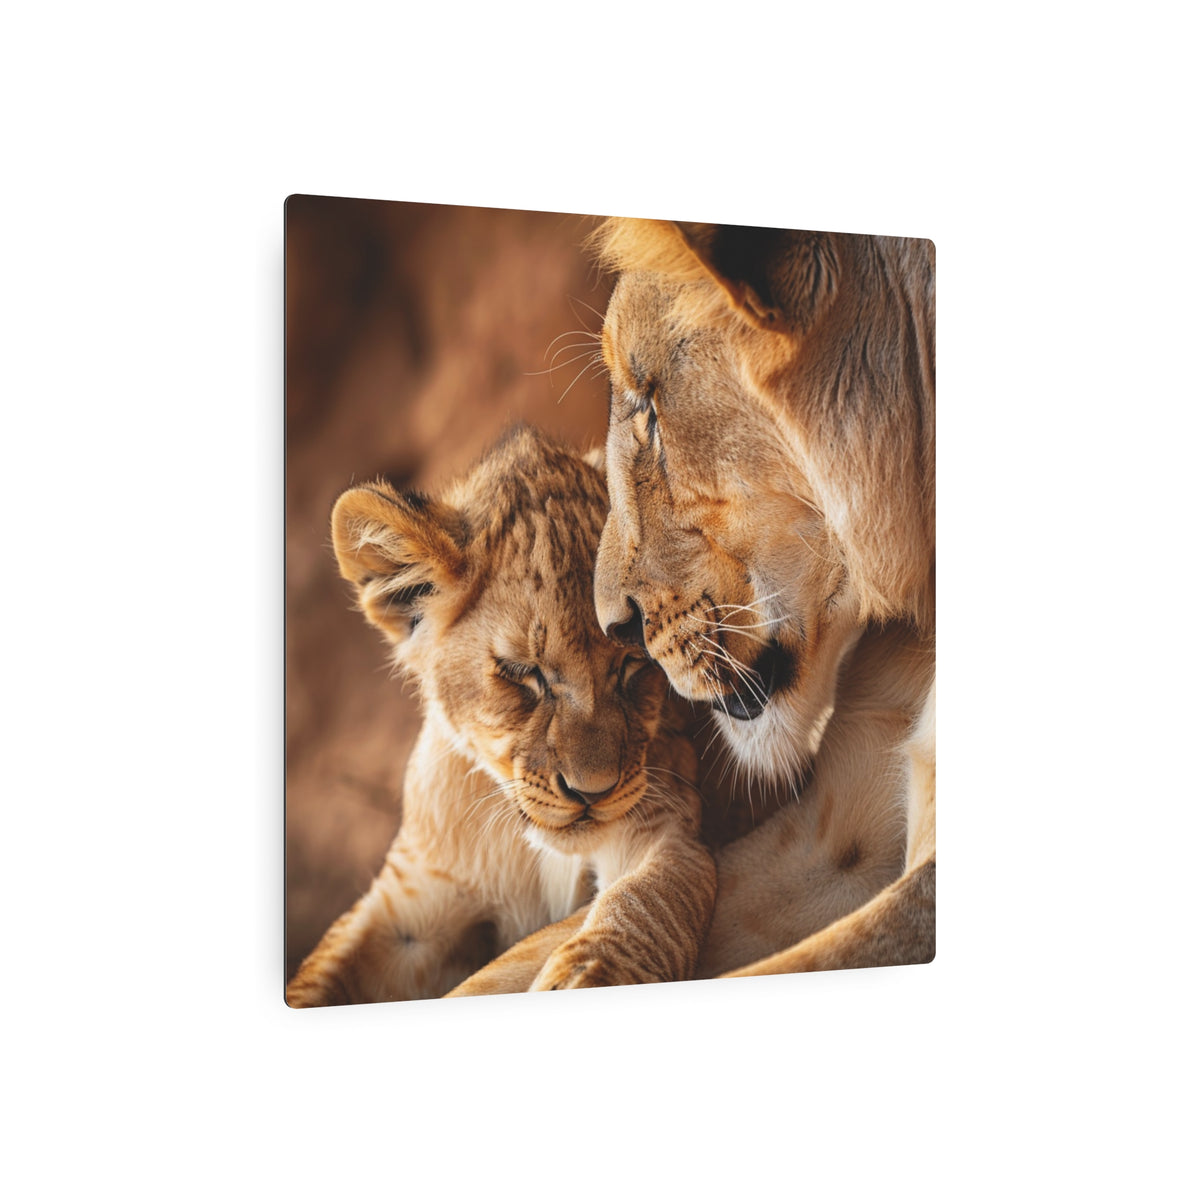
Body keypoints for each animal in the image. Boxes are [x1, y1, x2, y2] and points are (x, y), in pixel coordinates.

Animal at [285, 425, 716, 1006]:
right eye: (521, 672)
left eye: (633, 661)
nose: (593, 792)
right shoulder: (406, 914)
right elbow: (318, 975)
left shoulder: (670, 832)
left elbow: (645, 901)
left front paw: (587, 976)